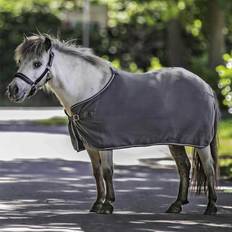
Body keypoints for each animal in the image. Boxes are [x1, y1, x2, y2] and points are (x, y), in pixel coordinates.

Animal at [6, 34, 219, 216]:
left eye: (37, 63)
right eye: (20, 61)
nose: (13, 90)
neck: (88, 90)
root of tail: (206, 86)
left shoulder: (104, 143)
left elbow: (107, 172)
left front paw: (107, 205)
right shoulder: (91, 144)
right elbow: (97, 173)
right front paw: (97, 204)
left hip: (201, 142)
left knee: (209, 168)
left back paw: (211, 207)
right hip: (175, 141)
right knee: (184, 167)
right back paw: (176, 205)